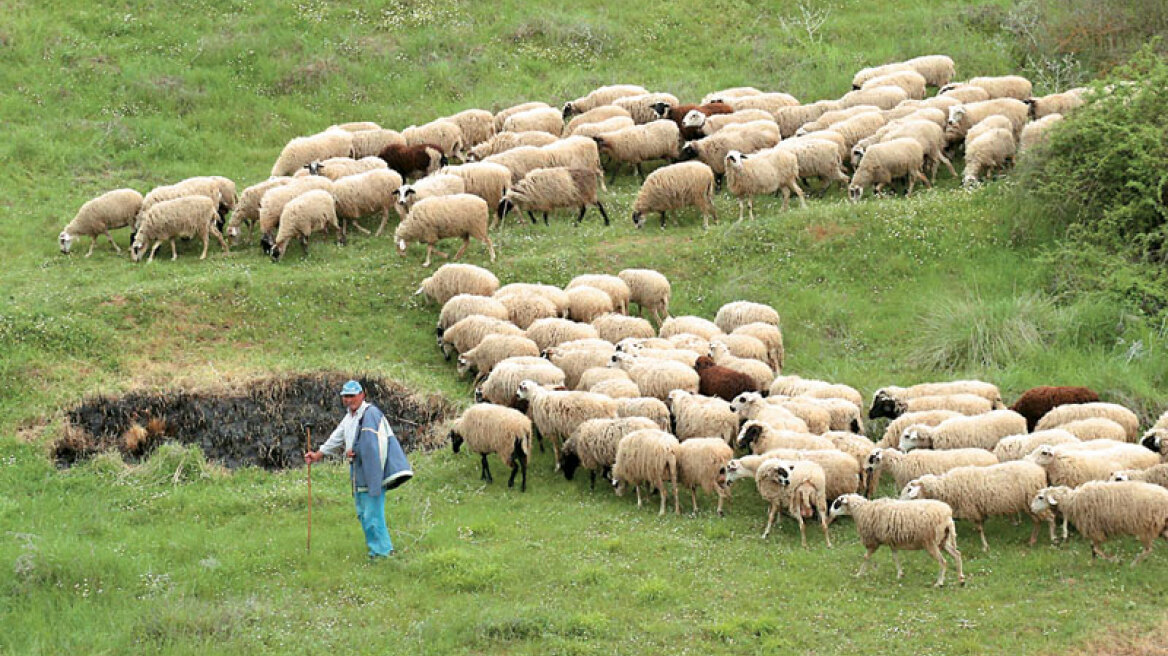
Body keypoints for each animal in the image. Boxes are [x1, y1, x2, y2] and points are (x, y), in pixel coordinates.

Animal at [831, 492, 967, 583]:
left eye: (837, 503)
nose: (829, 513)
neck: (862, 510)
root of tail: (947, 515)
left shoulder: (874, 541)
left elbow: (865, 557)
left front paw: (859, 574)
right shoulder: (892, 541)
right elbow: (895, 557)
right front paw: (900, 574)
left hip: (931, 542)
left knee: (943, 562)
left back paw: (939, 583)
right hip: (944, 540)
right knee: (957, 554)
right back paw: (961, 578)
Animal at [897, 459, 1055, 550]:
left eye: (909, 490)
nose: (899, 503)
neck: (946, 487)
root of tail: (1040, 470)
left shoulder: (972, 509)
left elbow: (979, 529)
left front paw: (984, 546)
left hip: (1034, 502)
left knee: (1050, 517)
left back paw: (1053, 539)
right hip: (1029, 505)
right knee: (1038, 521)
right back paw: (1032, 541)